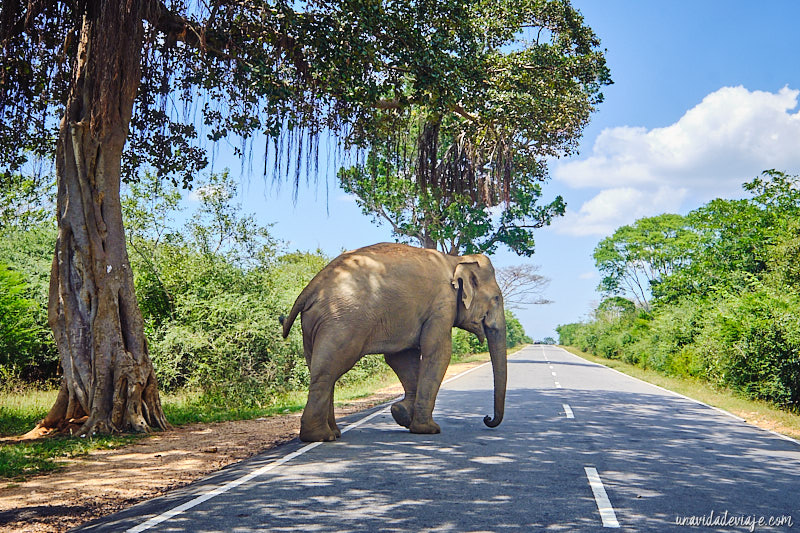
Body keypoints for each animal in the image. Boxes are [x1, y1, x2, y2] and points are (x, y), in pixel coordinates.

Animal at [282, 241, 506, 440]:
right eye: (496, 298)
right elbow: (438, 353)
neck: (457, 260)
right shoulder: (442, 305)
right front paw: (429, 429)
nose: (487, 418)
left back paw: (333, 433)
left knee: (321, 369)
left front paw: (402, 414)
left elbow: (401, 358)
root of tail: (312, 286)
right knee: (328, 372)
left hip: (312, 325)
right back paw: (320, 437)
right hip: (341, 322)